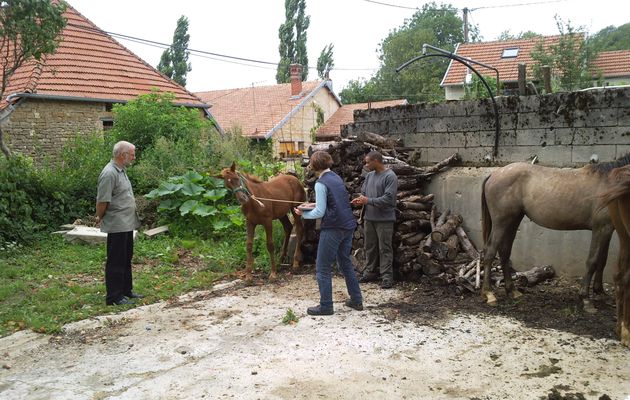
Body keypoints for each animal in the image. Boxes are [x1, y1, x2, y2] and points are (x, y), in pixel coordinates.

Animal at [482, 155, 628, 306]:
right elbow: (592, 261)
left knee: (504, 251)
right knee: (490, 252)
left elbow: (602, 260)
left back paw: (512, 291)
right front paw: (585, 298)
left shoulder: (607, 229)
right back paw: (489, 294)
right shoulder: (601, 228)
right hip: (501, 222)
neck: (609, 185)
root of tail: (494, 174)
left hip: (513, 221)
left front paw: (599, 291)